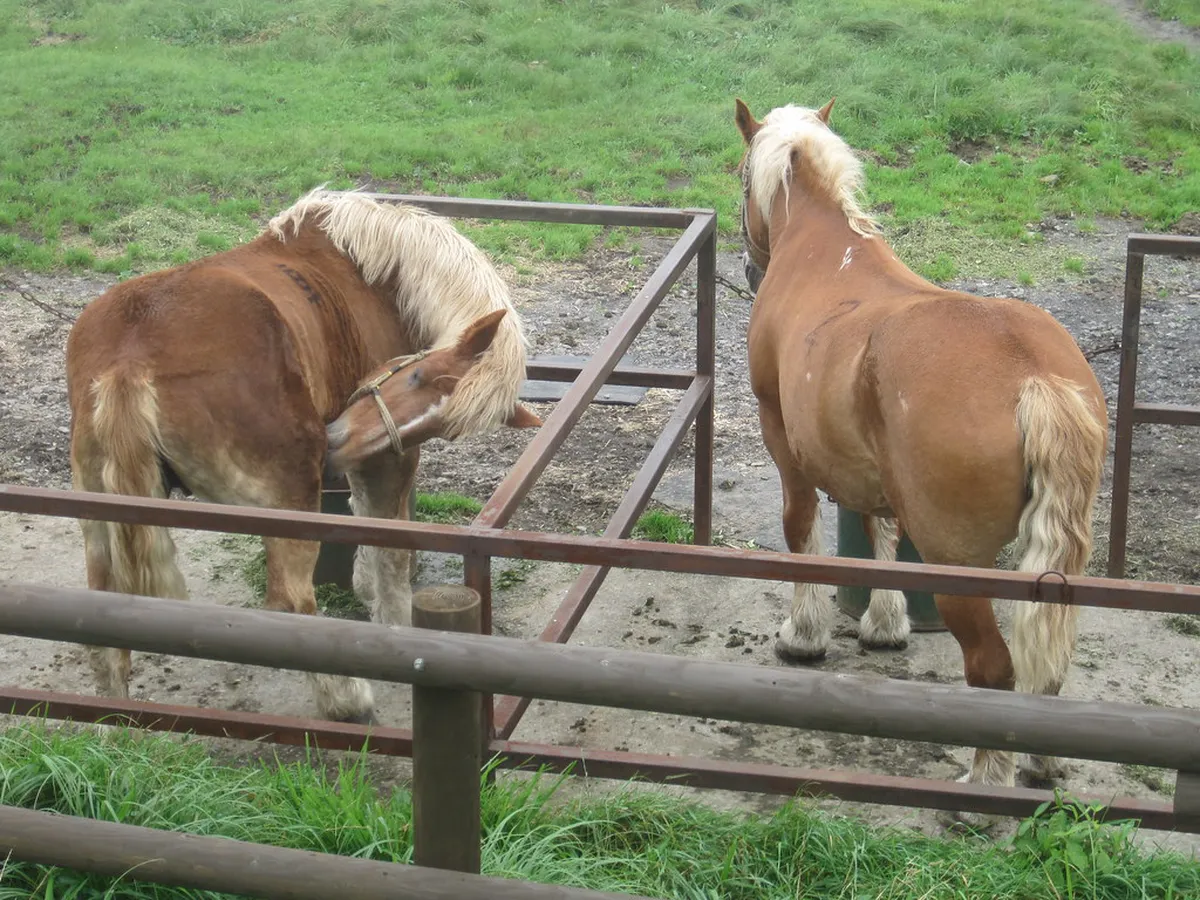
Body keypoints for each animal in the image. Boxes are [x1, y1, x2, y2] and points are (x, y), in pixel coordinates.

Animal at [66, 188, 542, 725]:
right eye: (418, 376)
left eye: (449, 427)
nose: (336, 442)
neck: (376, 271)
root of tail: (130, 357)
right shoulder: (387, 460)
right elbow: (391, 547)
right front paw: (397, 624)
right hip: (290, 497)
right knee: (291, 601)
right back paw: (347, 700)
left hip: (100, 514)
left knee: (102, 624)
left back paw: (113, 727)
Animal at [733, 98, 1108, 800]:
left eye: (741, 179)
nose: (748, 267)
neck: (825, 250)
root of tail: (1033, 377)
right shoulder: (870, 468)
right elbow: (881, 534)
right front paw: (885, 624)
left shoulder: (783, 440)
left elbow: (801, 531)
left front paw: (804, 635)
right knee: (1045, 664)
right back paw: (1040, 761)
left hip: (958, 562)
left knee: (992, 666)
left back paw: (984, 785)